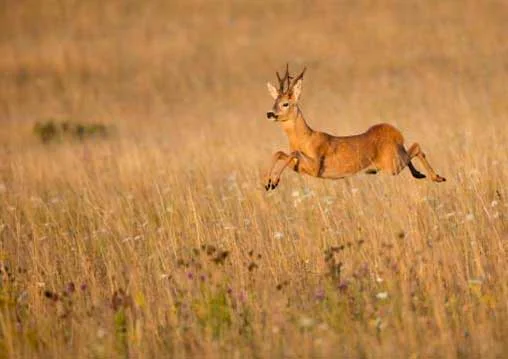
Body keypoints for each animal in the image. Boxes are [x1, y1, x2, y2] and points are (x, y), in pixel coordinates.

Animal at [264, 66, 446, 193]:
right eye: (274, 102)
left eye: (285, 103)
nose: (270, 113)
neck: (305, 139)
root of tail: (396, 134)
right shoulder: (300, 168)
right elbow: (279, 153)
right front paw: (268, 182)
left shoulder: (316, 167)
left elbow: (292, 153)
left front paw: (273, 181)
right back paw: (420, 174)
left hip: (392, 164)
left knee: (416, 146)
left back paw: (438, 177)